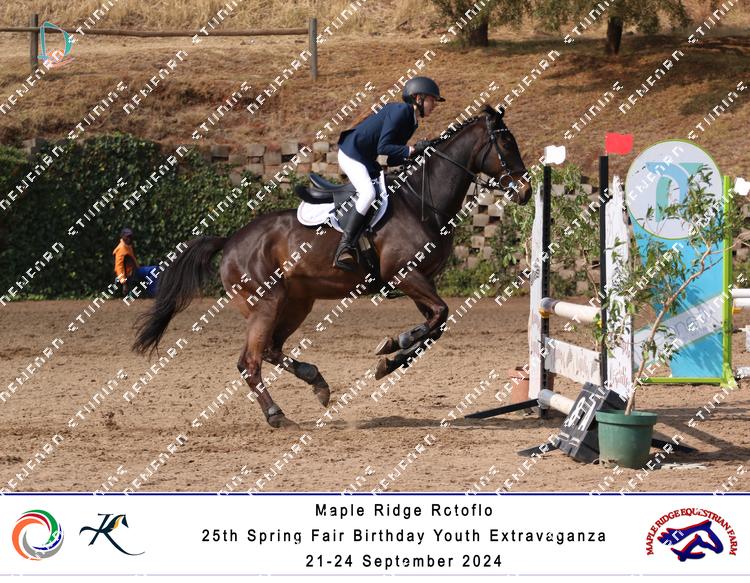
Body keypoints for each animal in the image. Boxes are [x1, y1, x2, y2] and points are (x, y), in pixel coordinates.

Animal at [132, 104, 531, 428]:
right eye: (506, 145)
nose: (526, 191)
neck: (423, 199)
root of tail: (230, 240)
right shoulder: (405, 275)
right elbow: (437, 318)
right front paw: (394, 344)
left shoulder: (419, 282)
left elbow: (435, 325)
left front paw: (390, 357)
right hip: (266, 302)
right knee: (250, 361)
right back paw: (276, 415)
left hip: (297, 302)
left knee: (272, 349)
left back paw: (317, 383)